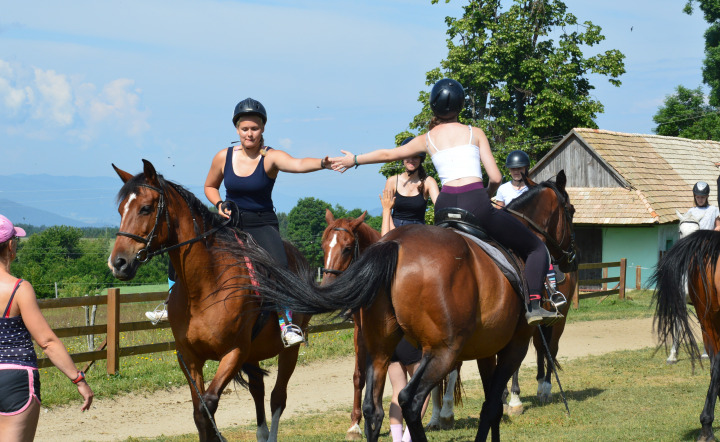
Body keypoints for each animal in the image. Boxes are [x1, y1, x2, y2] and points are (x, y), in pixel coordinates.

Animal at [107, 160, 312, 442]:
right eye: (120, 210)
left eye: (145, 208)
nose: (118, 263)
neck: (204, 287)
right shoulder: (190, 357)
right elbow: (200, 412)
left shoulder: (234, 353)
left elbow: (209, 404)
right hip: (254, 353)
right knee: (258, 389)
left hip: (288, 351)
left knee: (277, 397)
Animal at [322, 211, 462, 438]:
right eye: (323, 245)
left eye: (347, 248)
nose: (328, 286)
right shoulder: (361, 333)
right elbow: (359, 376)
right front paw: (355, 425)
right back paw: (434, 418)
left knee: (453, 370)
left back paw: (447, 412)